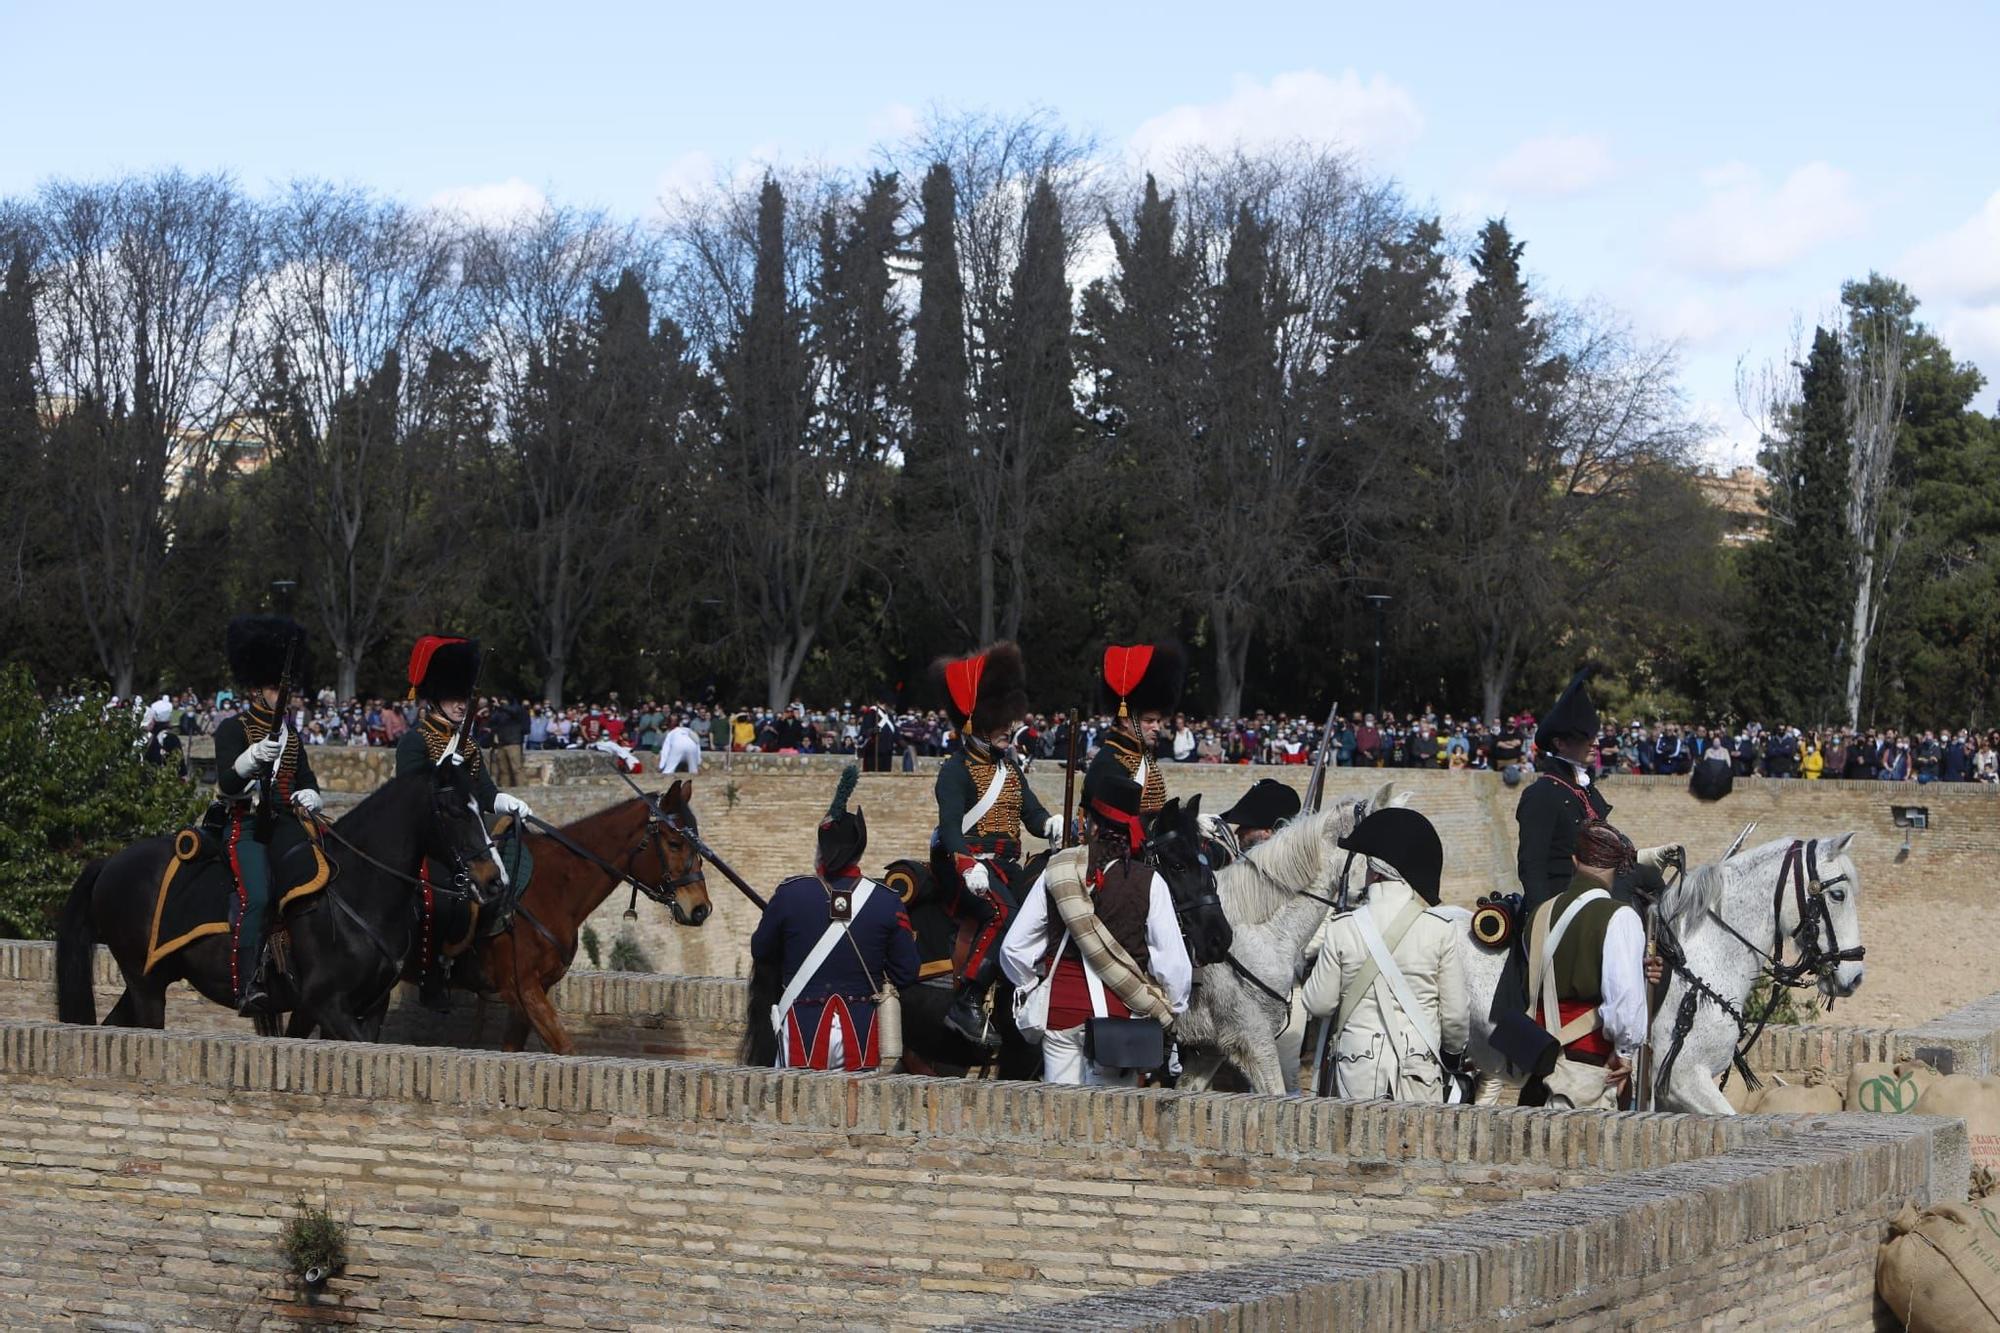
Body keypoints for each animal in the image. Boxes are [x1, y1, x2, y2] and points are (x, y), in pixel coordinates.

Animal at [56, 756, 494, 1040]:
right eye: (454, 810)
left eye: (481, 807)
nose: (491, 881)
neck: (359, 891)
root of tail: (110, 862)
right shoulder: (328, 1004)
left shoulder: (364, 1007)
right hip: (145, 983)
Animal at [472, 780, 716, 1048]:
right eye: (674, 843)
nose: (700, 908)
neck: (549, 884)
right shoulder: (522, 987)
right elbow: (565, 1047)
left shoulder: (533, 991)